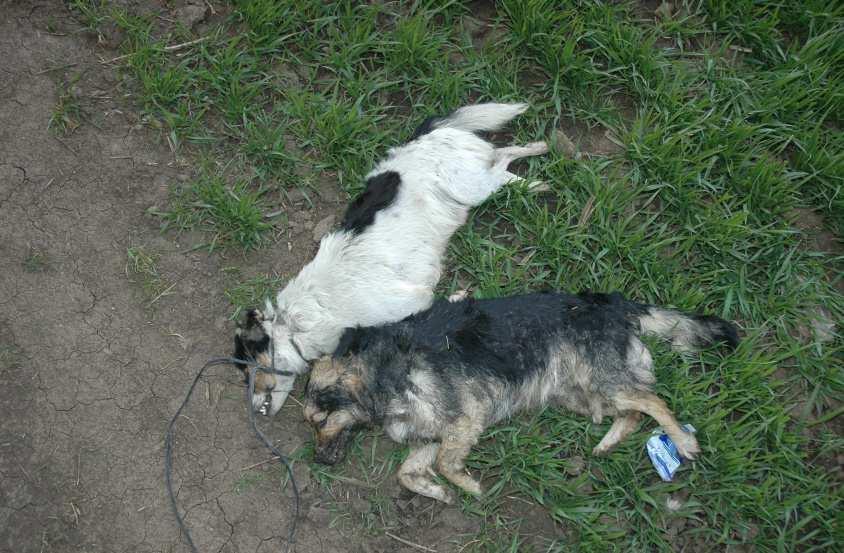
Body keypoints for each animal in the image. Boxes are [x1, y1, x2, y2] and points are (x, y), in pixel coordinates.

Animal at [304, 292, 740, 502]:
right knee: (632, 411)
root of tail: (612, 302)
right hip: (580, 393)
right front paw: (439, 492)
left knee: (654, 401)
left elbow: (445, 463)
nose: (317, 460)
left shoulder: (466, 419)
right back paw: (607, 442)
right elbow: (407, 473)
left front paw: (469, 487)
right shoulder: (432, 435)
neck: (378, 374)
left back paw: (683, 441)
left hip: (601, 378)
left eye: (320, 421)